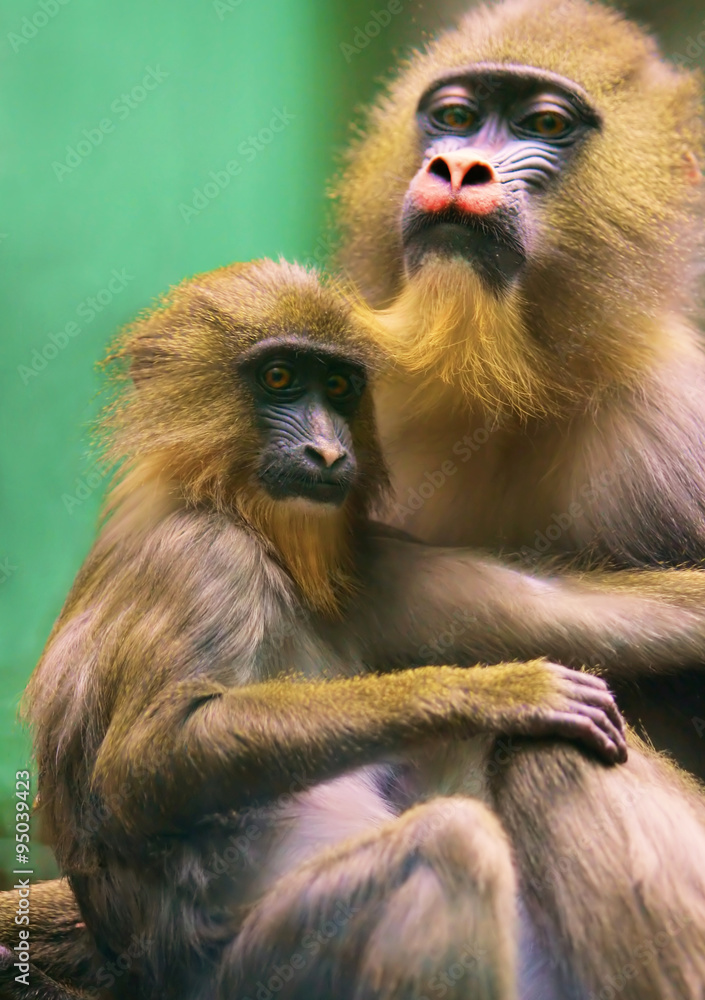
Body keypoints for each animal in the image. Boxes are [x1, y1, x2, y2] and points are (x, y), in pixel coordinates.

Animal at [11, 256, 705, 1000]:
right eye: (278, 377)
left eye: (339, 387)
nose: (325, 450)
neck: (233, 505)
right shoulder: (201, 557)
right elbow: (147, 761)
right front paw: (500, 691)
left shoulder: (367, 563)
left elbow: (571, 609)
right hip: (265, 966)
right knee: (449, 845)